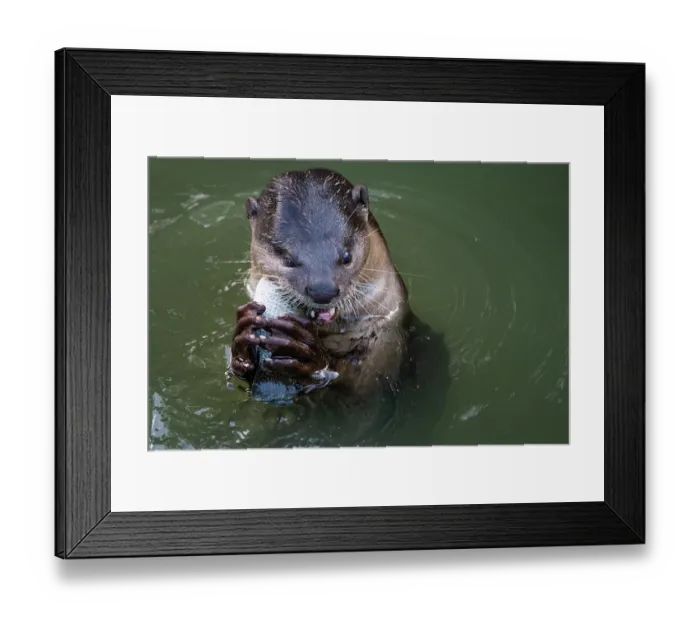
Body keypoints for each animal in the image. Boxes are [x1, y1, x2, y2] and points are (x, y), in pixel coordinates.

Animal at [228, 168, 411, 400]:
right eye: (288, 260)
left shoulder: (387, 342)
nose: (323, 290)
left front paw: (308, 355)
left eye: (346, 256)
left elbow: (363, 386)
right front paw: (242, 341)